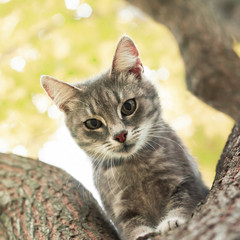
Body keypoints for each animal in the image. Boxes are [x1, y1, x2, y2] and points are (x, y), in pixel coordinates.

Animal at [40, 35, 209, 240]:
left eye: (128, 106)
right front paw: (141, 234)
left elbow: (184, 201)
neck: (135, 166)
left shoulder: (186, 180)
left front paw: (171, 221)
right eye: (93, 123)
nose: (119, 134)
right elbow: (131, 225)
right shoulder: (119, 208)